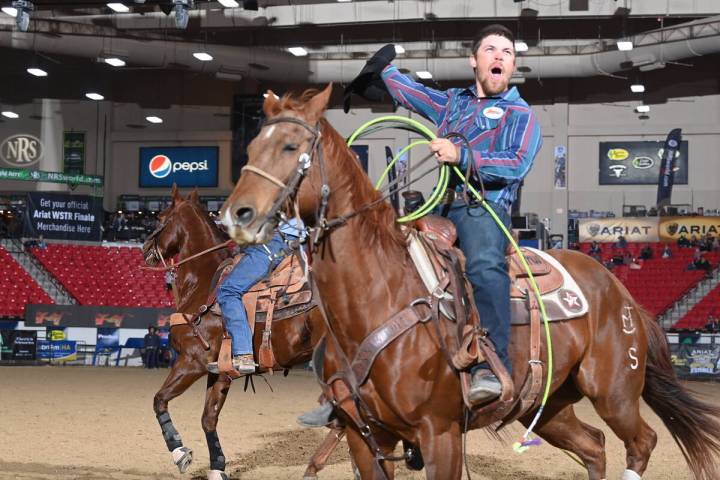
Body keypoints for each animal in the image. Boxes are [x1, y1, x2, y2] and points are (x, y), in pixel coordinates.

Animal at [141, 187, 326, 480]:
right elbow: (208, 417)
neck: (203, 284)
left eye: (160, 217)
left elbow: (159, 400)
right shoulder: (219, 371)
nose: (145, 249)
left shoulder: (191, 362)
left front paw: (180, 452)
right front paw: (217, 467)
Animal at [218, 84, 720, 478]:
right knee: (595, 447)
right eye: (250, 150)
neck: (378, 297)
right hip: (549, 406)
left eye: (290, 147)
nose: (235, 215)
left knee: (640, 442)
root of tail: (620, 293)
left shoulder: (440, 434)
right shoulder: (368, 439)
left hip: (614, 391)